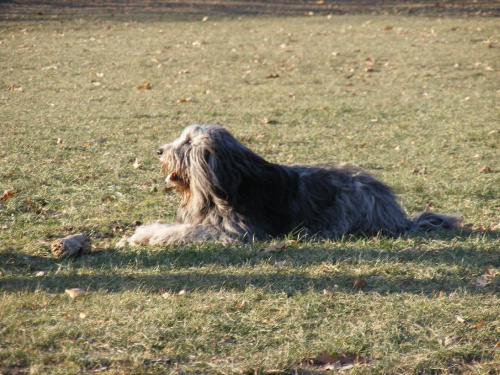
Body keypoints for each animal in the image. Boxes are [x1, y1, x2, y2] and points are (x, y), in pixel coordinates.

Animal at [127, 123, 458, 247]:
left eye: (186, 143)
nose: (159, 151)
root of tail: (398, 214)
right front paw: (144, 232)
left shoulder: (238, 230)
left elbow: (186, 231)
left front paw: (150, 237)